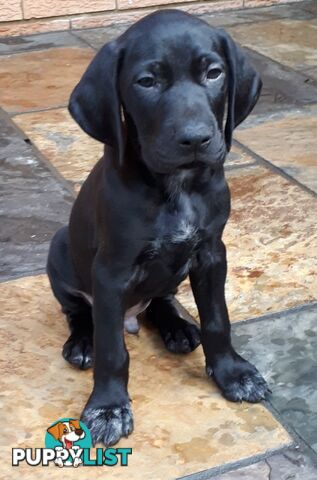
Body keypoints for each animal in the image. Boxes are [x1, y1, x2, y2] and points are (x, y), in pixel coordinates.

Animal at [47, 9, 268, 446]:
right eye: (146, 82)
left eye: (214, 73)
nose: (196, 139)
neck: (176, 187)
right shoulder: (111, 272)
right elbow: (111, 349)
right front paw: (109, 407)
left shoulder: (211, 253)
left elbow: (217, 319)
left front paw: (232, 373)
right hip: (59, 250)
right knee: (79, 311)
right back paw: (82, 341)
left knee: (161, 300)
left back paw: (177, 326)